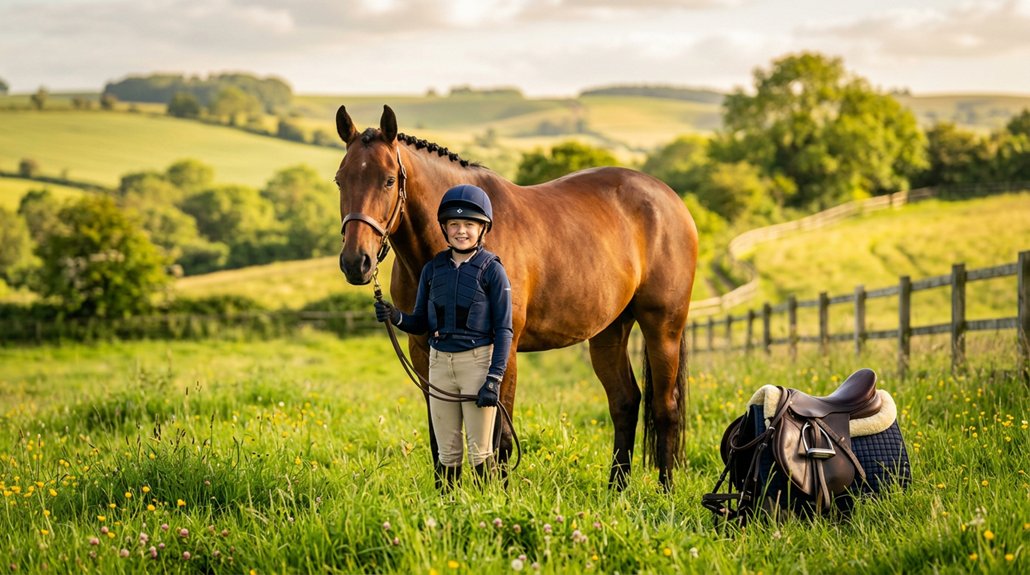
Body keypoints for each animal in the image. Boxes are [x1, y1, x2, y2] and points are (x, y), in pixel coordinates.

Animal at [335, 105, 698, 490]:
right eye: (340, 179)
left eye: (389, 180)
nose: (356, 262)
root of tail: (669, 199)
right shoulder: (423, 350)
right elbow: (441, 433)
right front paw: (446, 493)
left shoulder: (502, 350)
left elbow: (500, 435)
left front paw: (497, 494)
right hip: (609, 332)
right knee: (625, 402)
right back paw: (617, 490)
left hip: (663, 328)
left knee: (665, 407)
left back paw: (664, 490)